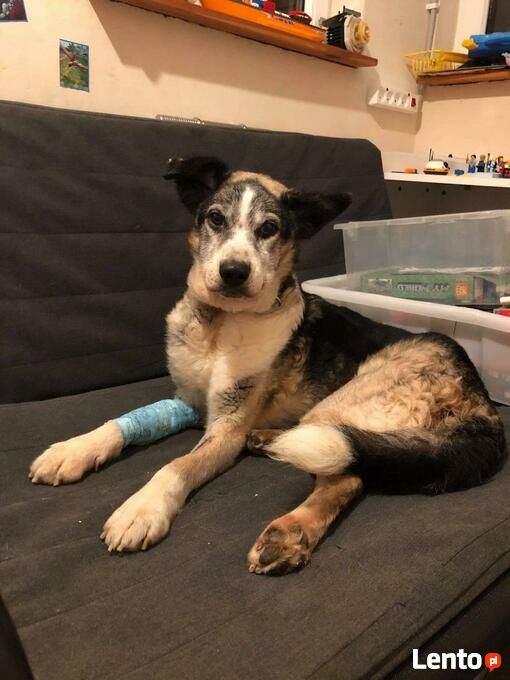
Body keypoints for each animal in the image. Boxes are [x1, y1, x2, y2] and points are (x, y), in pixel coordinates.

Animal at [29, 157, 508, 575]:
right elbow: (126, 420)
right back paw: (268, 441)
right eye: (215, 219)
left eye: (269, 229)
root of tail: (482, 406)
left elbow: (177, 465)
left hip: (345, 400)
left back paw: (290, 532)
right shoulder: (188, 402)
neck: (220, 322)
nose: (234, 272)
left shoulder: (225, 427)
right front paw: (74, 450)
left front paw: (141, 508)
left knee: (348, 473)